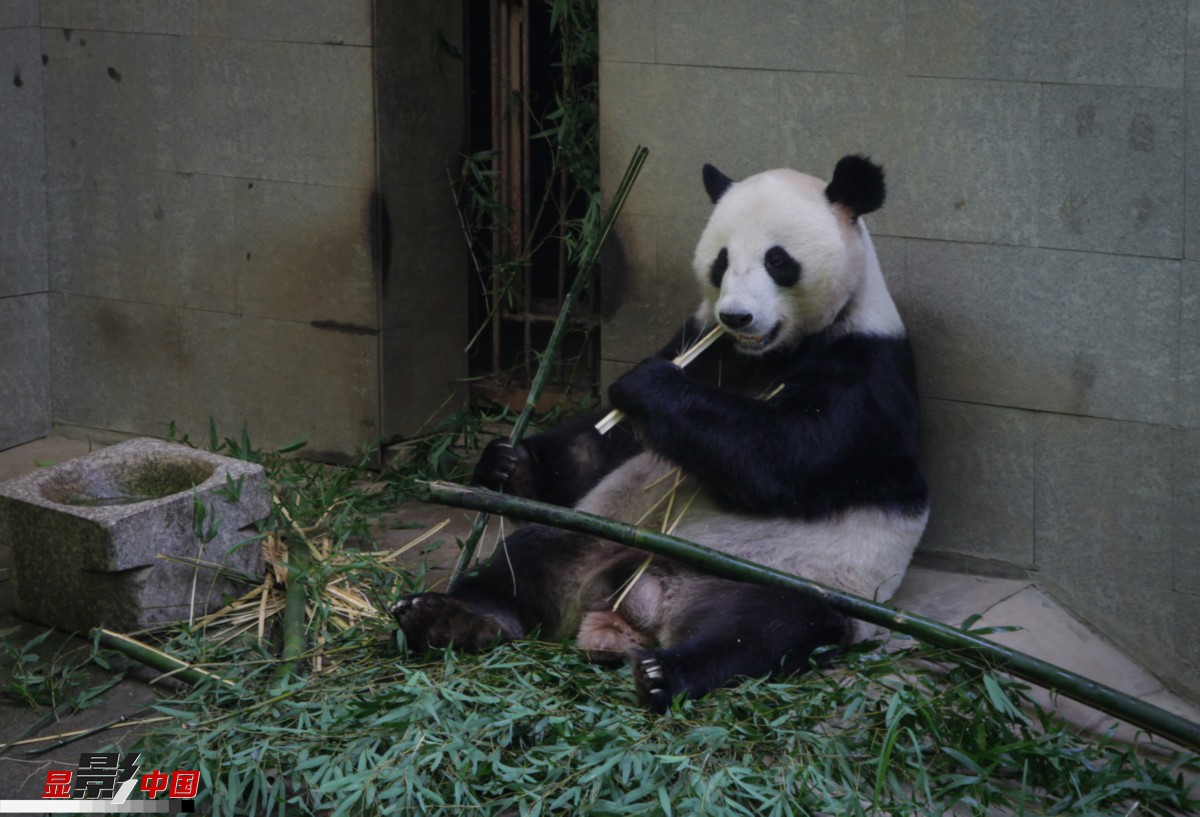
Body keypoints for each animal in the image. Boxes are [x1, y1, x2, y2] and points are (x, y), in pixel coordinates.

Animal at [393, 155, 926, 710]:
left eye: (778, 260)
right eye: (721, 261)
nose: (737, 316)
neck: (767, 354)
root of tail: (646, 606)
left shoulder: (866, 370)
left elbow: (784, 455)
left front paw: (643, 384)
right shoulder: (701, 342)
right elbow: (609, 444)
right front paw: (506, 463)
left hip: (792, 581)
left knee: (762, 630)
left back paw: (663, 673)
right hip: (595, 536)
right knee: (529, 560)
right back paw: (450, 616)